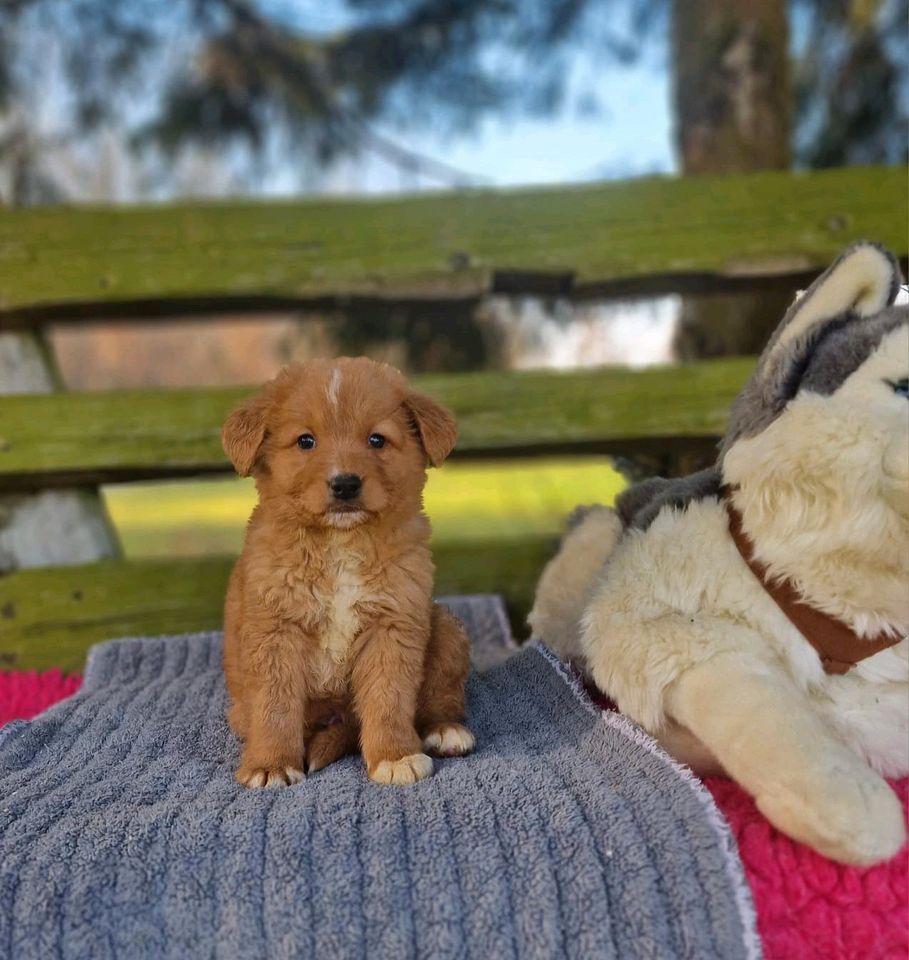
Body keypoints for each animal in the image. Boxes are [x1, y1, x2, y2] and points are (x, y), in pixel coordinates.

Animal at [221, 358, 476, 788]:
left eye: (376, 440)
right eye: (306, 441)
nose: (345, 484)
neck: (338, 547)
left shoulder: (393, 625)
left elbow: (389, 700)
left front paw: (394, 755)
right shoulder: (275, 632)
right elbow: (275, 707)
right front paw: (271, 763)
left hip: (444, 626)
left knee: (440, 695)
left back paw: (445, 730)